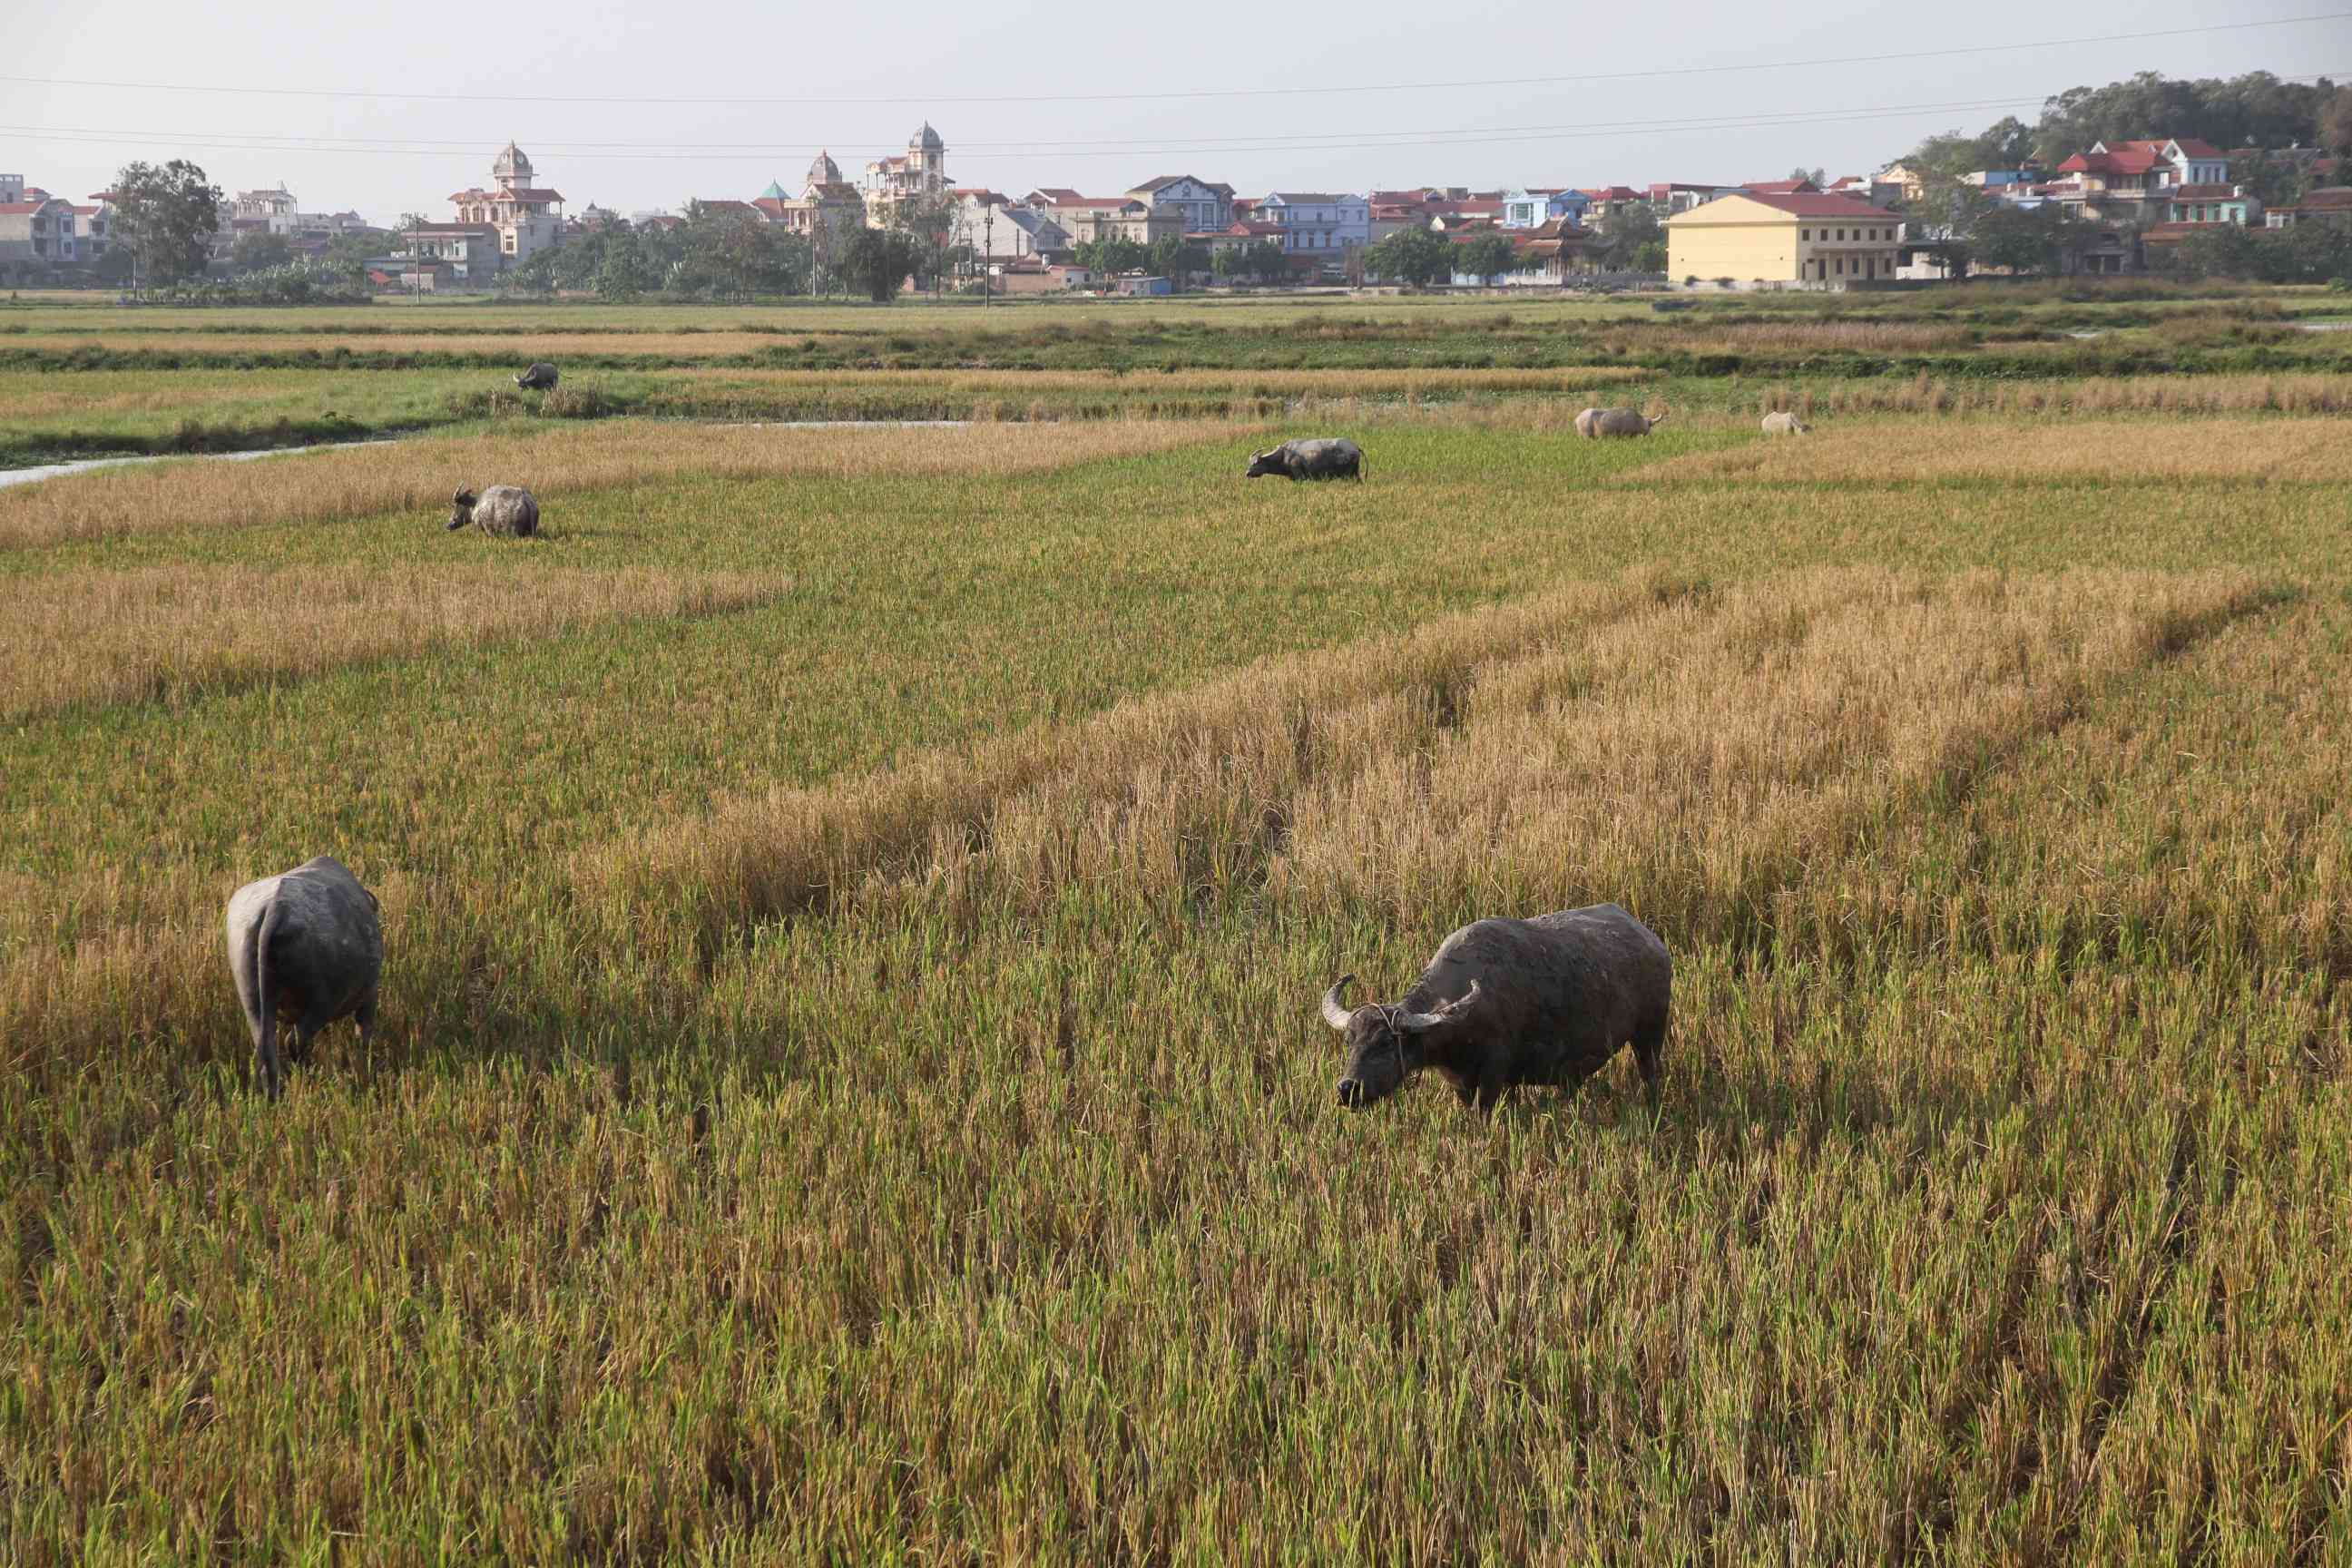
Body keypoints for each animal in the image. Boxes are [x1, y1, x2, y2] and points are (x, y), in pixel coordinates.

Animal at [227, 860, 383, 1104]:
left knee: (267, 1047)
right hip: (323, 1001)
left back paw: (275, 1094)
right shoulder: (370, 994)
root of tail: (276, 909)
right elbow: (363, 1034)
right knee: (295, 1041)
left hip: (251, 997)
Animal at [1241, 439, 1373, 482]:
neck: (1284, 455)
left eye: (1255, 463)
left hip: (1347, 475)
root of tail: (1356, 447)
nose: (1247, 473)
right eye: (1250, 462)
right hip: (1355, 473)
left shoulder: (1300, 476)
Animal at [1326, 907, 1674, 1113]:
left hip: (1650, 1035)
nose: (1347, 1089)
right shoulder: (1461, 1082)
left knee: (1650, 1074)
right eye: (1350, 1042)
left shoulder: (1494, 1072)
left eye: (1386, 1042)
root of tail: (1654, 943)